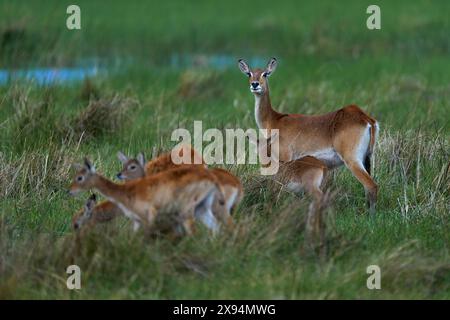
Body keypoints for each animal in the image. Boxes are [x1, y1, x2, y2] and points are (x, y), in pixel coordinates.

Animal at [239, 57, 380, 212]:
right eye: (249, 73)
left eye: (265, 74)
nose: (255, 84)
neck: (275, 120)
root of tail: (365, 118)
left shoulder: (285, 158)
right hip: (366, 159)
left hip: (353, 160)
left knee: (371, 186)